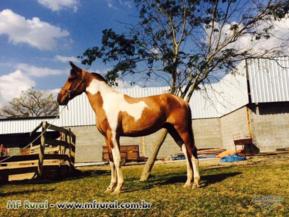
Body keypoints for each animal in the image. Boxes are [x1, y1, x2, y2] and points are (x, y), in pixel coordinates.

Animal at [57, 62, 199, 194]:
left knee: (192, 150)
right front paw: (110, 187)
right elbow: (111, 160)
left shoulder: (113, 135)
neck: (105, 102)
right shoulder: (107, 137)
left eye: (71, 78)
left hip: (183, 129)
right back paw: (187, 183)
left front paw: (118, 188)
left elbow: (118, 159)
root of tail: (183, 101)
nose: (59, 98)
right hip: (173, 131)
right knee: (185, 151)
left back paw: (196, 183)